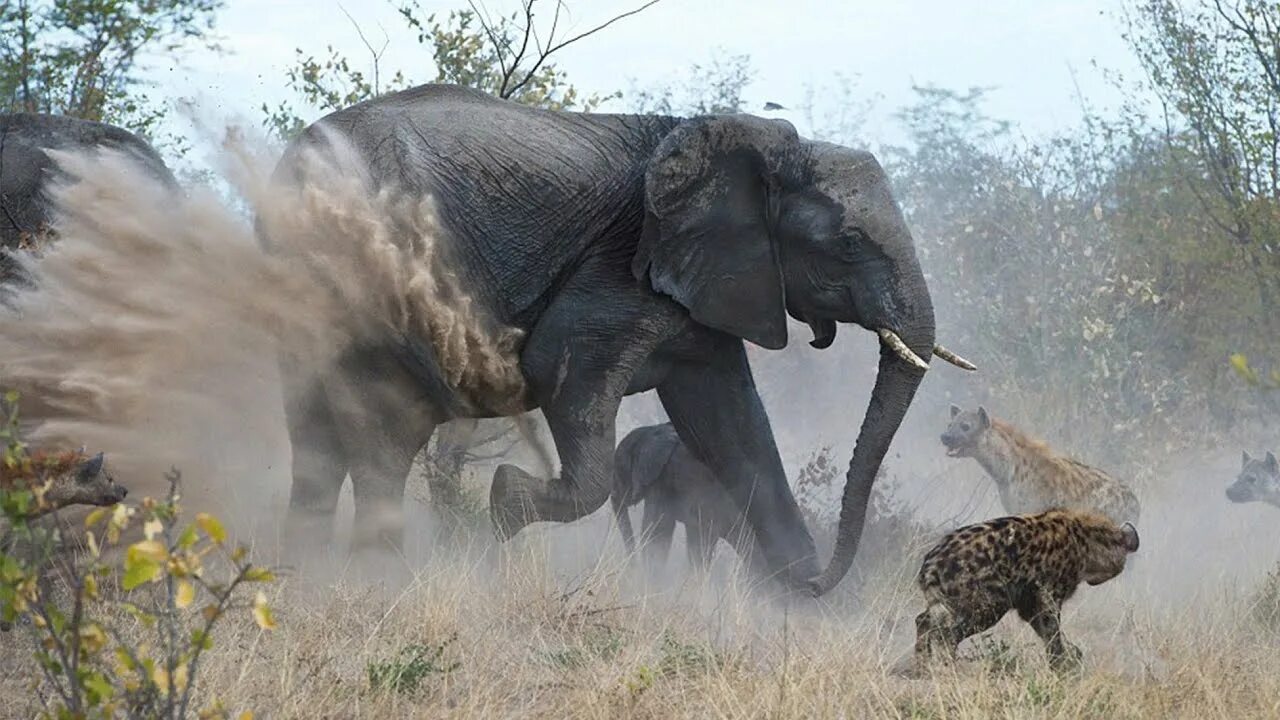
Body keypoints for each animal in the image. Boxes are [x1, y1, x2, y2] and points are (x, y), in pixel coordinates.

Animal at [911, 507, 1141, 671]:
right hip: (988, 603)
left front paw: (1071, 656)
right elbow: (1051, 629)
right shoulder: (1049, 593)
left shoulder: (1028, 601)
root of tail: (930, 566)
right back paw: (947, 665)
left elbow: (1047, 630)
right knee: (948, 632)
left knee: (924, 620)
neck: (1085, 541)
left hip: (949, 602)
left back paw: (922, 665)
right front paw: (1061, 664)